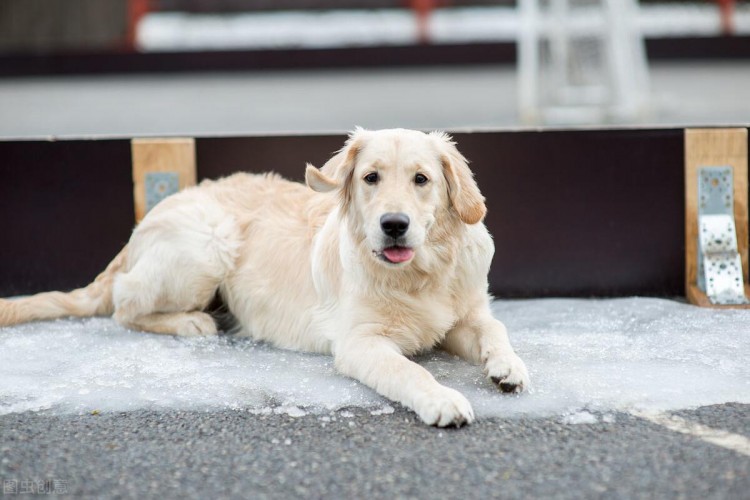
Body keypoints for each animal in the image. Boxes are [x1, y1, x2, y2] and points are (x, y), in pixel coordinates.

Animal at [0, 128, 528, 426]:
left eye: (422, 179)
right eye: (370, 178)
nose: (394, 225)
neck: (421, 273)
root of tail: (151, 215)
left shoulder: (465, 313)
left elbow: (495, 328)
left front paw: (509, 367)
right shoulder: (360, 343)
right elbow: (410, 370)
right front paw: (442, 400)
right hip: (208, 245)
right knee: (125, 304)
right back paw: (191, 321)